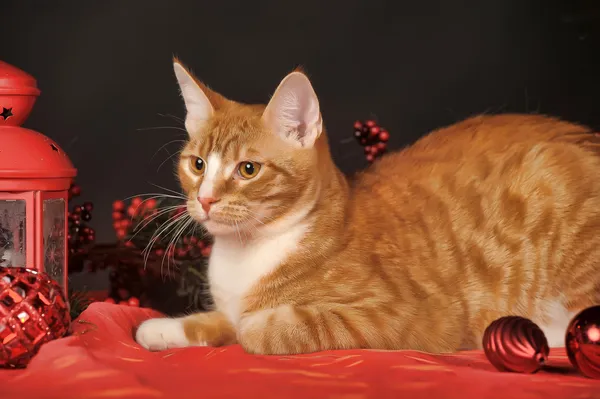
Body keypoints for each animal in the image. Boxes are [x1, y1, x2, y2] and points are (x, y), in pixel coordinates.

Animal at [135, 57, 600, 354]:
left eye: (248, 169)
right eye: (197, 164)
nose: (205, 199)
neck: (249, 252)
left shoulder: (413, 317)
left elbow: (271, 328)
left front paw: (255, 324)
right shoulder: (228, 303)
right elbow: (219, 319)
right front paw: (164, 329)